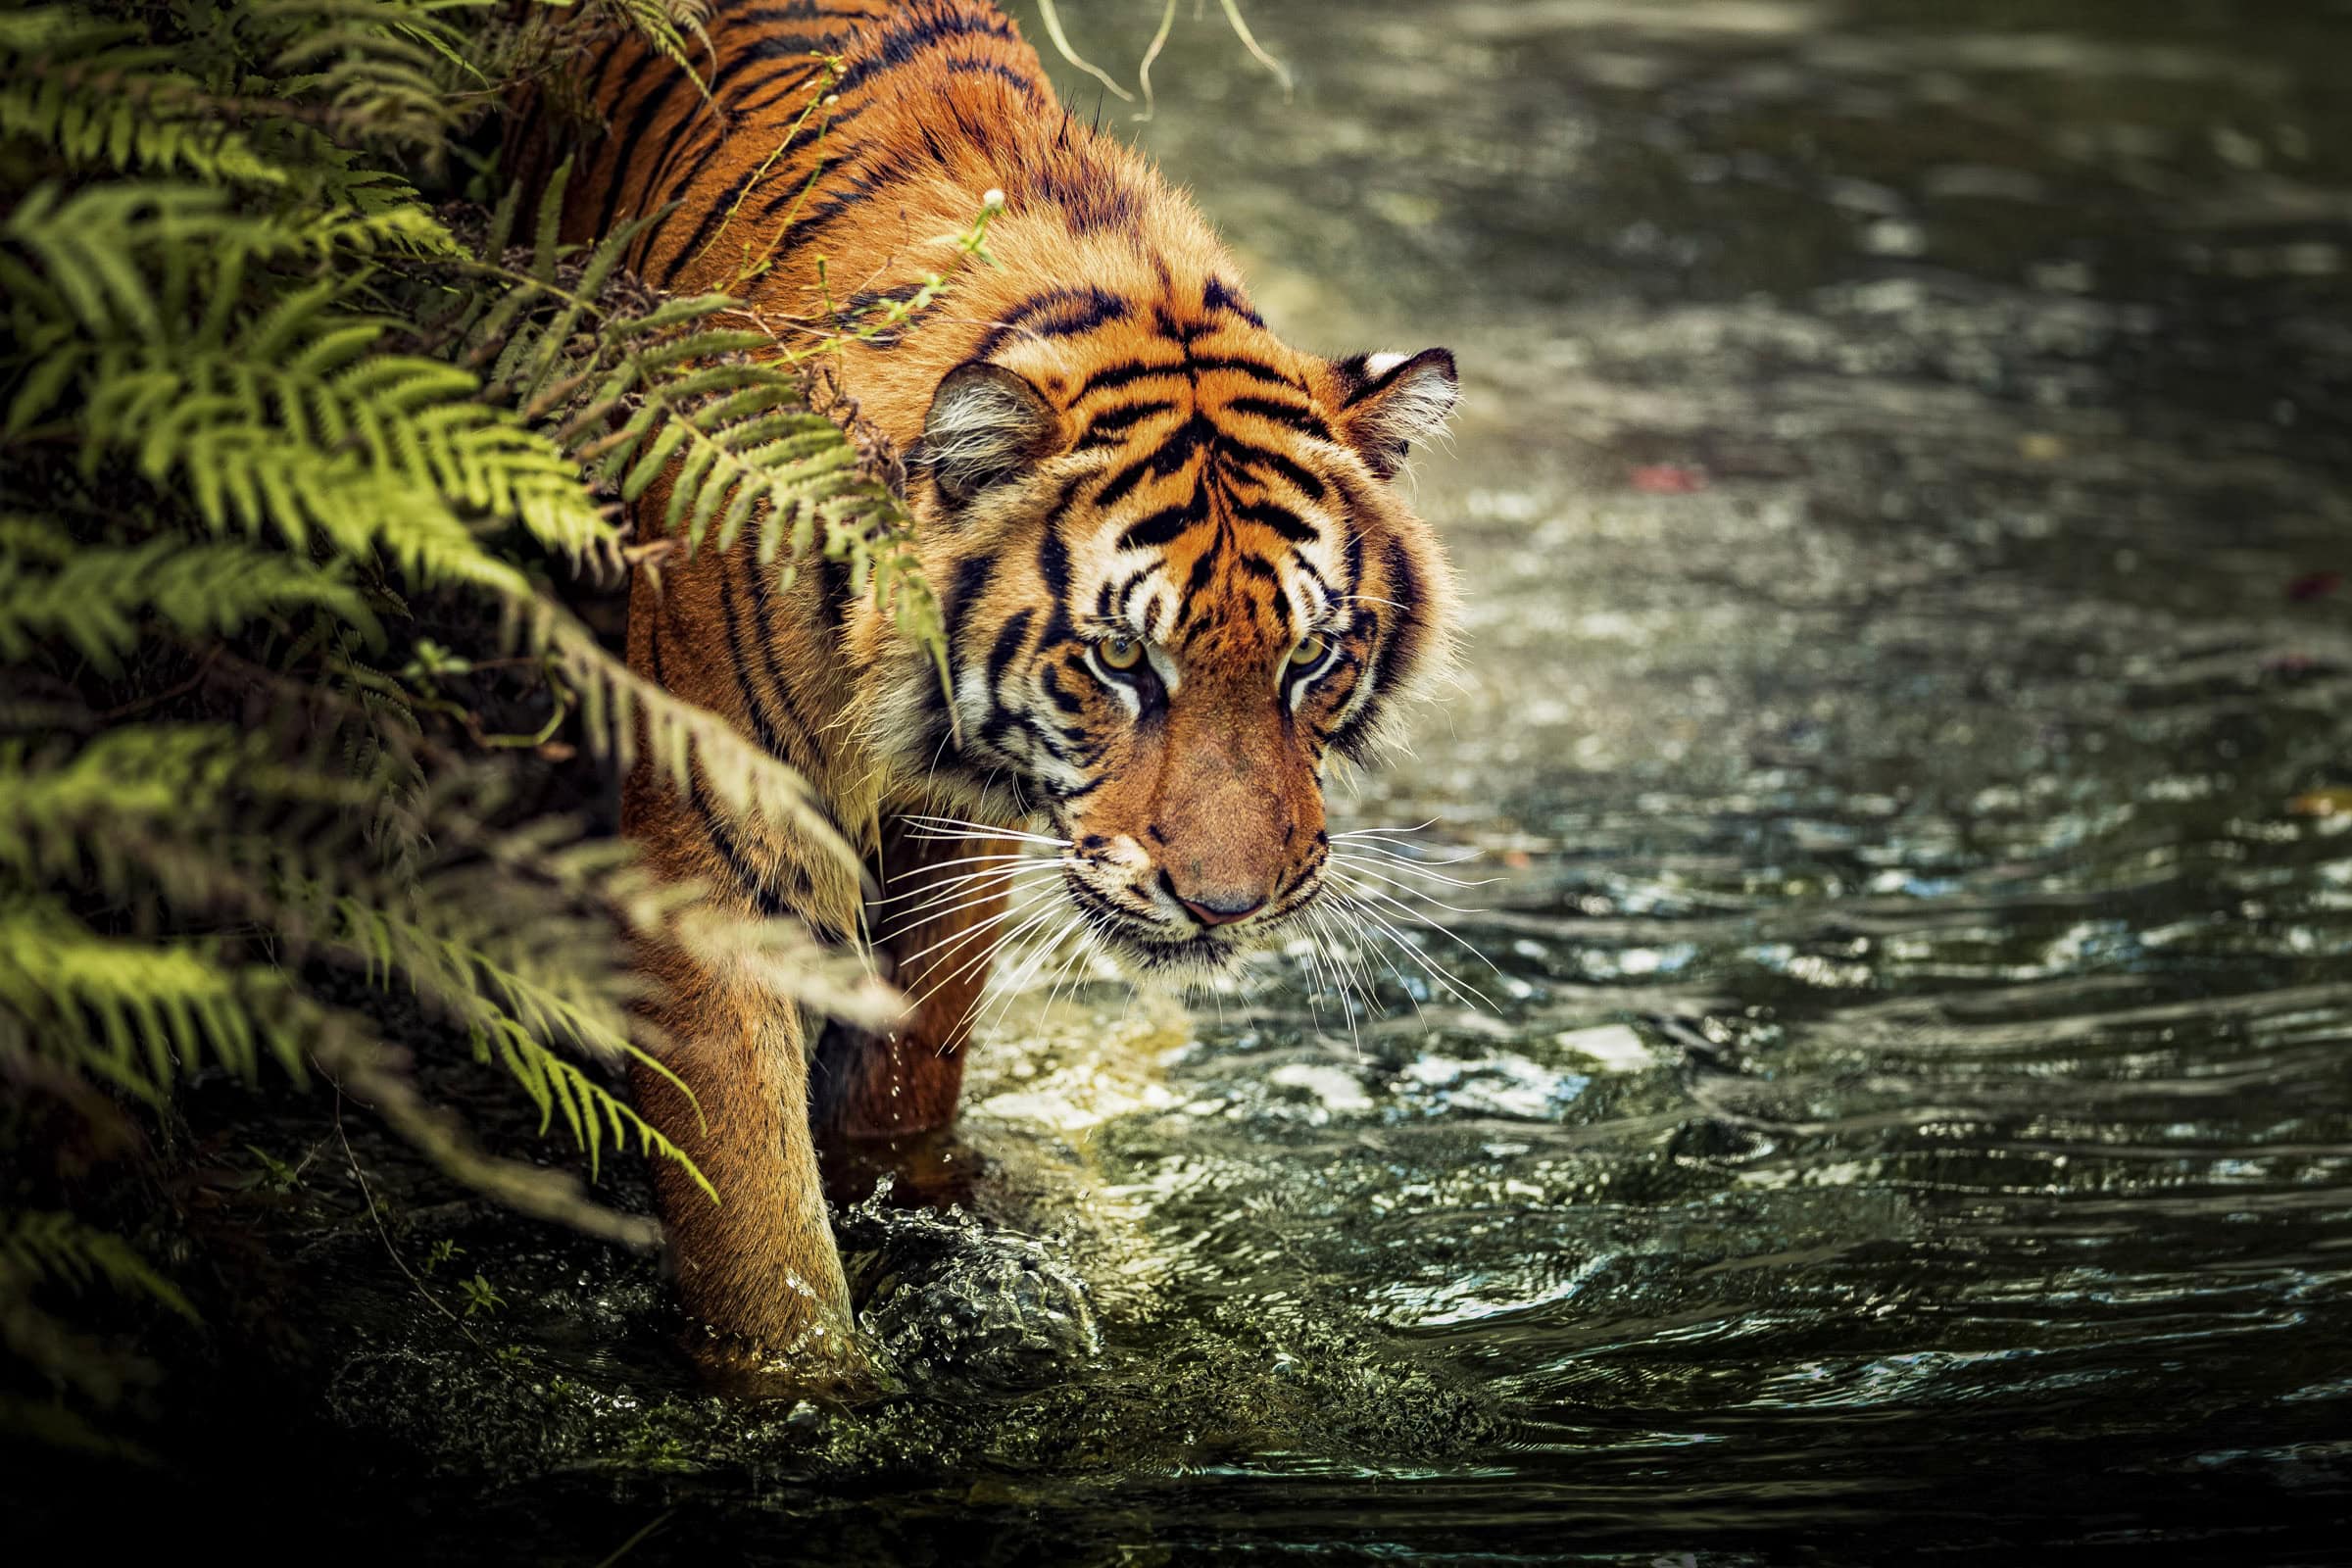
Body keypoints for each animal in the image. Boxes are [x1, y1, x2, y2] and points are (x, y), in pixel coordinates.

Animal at [525, 0, 1459, 1382]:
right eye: (1123, 661)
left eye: (1310, 661)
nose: (1227, 906)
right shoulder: (716, 857)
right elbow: (754, 1227)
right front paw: (809, 1389)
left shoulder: (959, 837)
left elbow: (900, 1080)